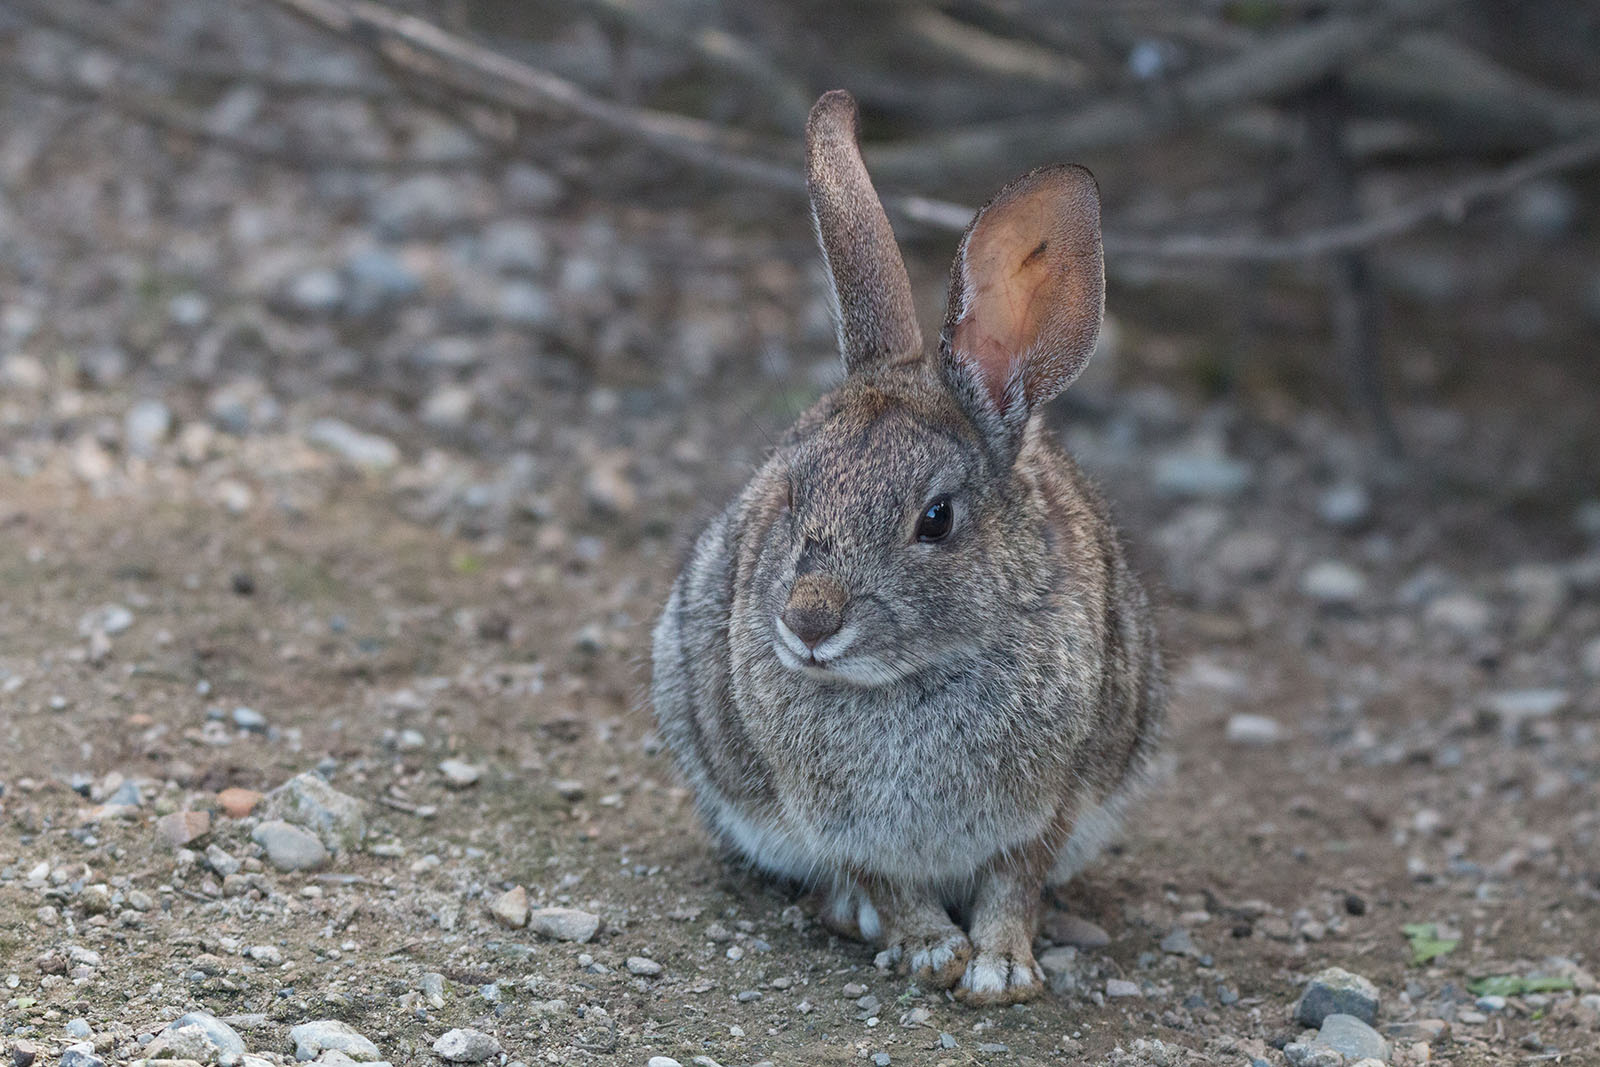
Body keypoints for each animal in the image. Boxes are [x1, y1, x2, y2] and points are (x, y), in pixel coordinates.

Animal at [649, 89, 1164, 1004]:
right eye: (791, 490)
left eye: (936, 518)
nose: (808, 623)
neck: (908, 678)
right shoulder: (835, 821)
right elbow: (884, 879)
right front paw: (929, 951)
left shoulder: (1051, 803)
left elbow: (1015, 881)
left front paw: (1002, 969)